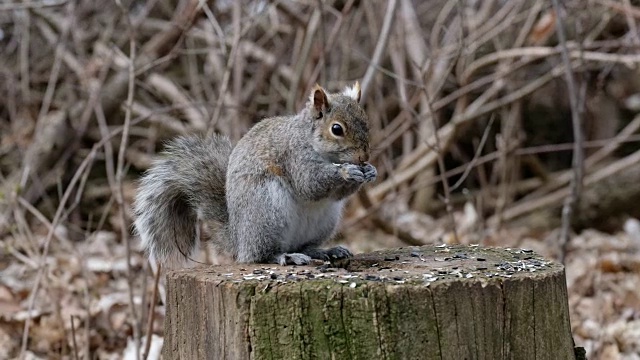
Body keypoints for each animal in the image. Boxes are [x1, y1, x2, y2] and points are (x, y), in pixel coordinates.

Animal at [134, 83, 376, 266]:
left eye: (367, 122)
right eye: (337, 129)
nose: (364, 157)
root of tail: (239, 240)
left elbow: (335, 194)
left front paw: (369, 171)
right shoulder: (294, 156)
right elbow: (310, 184)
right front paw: (346, 171)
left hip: (324, 222)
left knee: (304, 246)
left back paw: (324, 251)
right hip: (266, 211)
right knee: (260, 255)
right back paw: (285, 256)